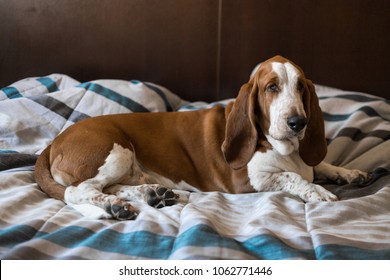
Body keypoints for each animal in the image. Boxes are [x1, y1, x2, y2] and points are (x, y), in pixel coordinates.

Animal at [35, 55, 368, 220]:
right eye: (272, 87)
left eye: (301, 87)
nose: (298, 122)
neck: (283, 146)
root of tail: (53, 143)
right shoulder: (247, 181)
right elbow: (294, 177)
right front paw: (317, 192)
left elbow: (320, 164)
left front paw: (349, 172)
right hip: (117, 152)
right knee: (79, 190)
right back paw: (115, 206)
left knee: (114, 186)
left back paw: (153, 194)